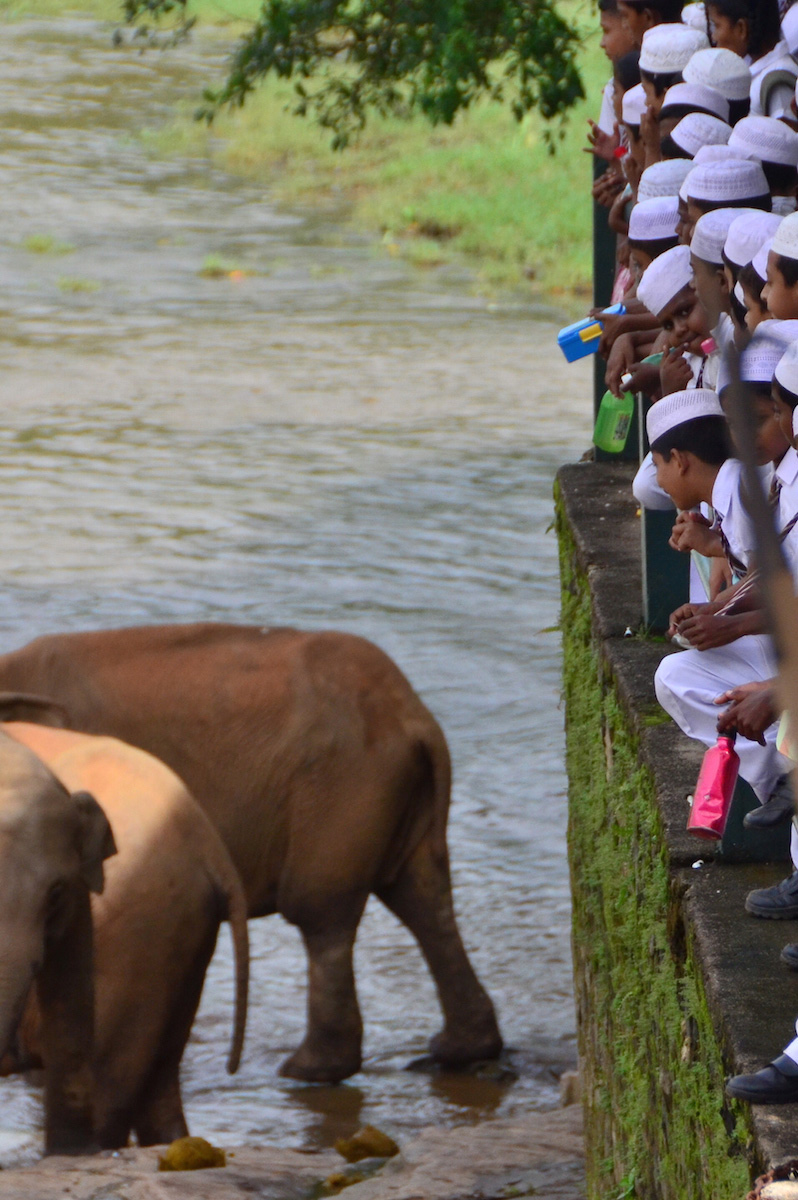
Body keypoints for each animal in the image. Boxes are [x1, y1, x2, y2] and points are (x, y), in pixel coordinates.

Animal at [0, 624, 501, 1084]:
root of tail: (417, 717)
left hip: (343, 788)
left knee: (323, 914)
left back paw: (307, 1071)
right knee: (423, 900)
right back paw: (459, 1051)